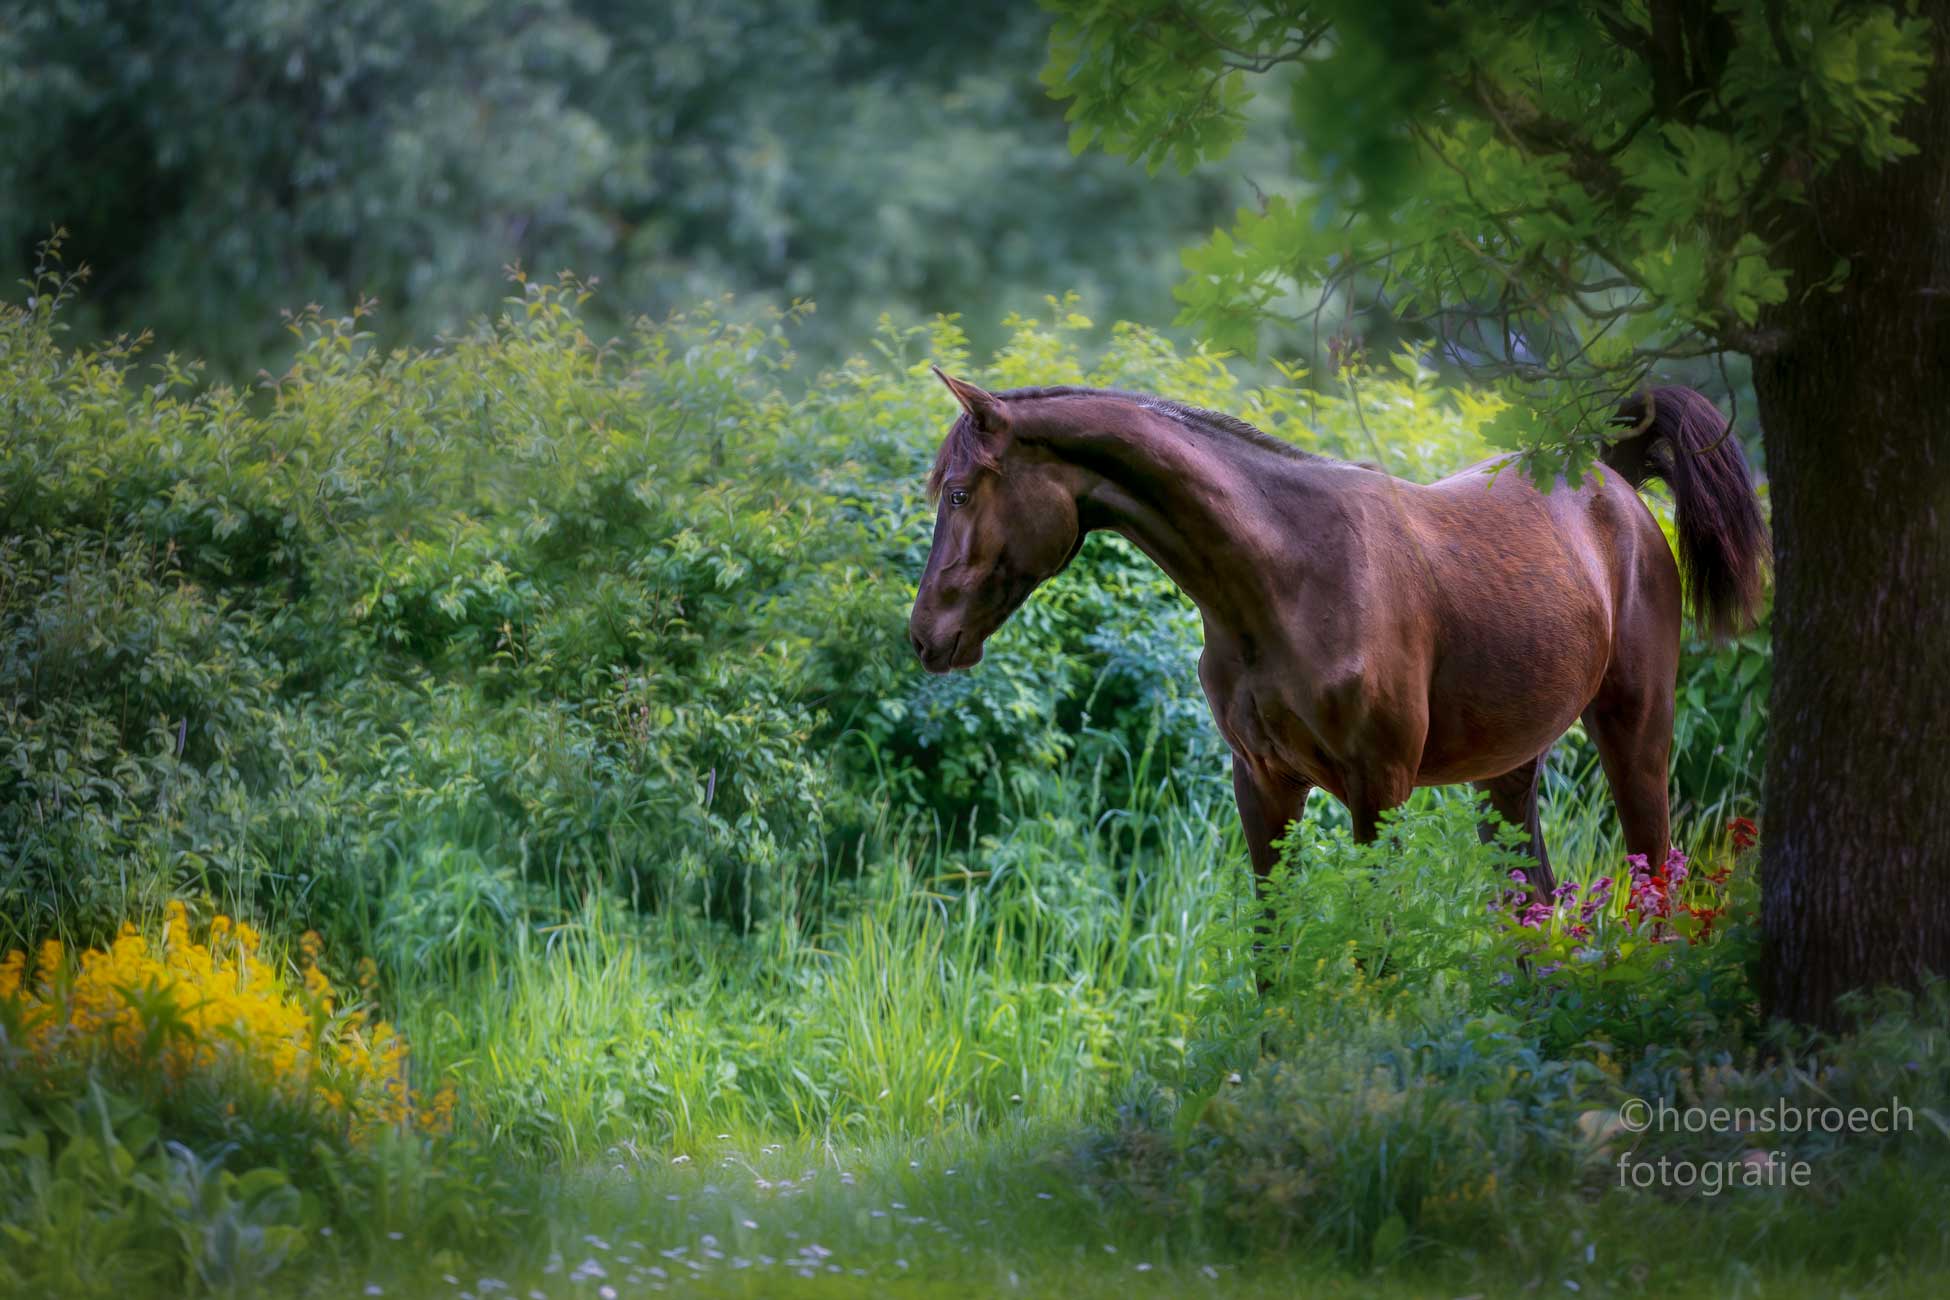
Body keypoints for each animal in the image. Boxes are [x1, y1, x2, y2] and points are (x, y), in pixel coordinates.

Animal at [904, 366, 1778, 896]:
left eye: (959, 491)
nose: (923, 635)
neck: (1284, 575)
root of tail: (1611, 478)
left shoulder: (1378, 789)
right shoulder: (1262, 785)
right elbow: (1274, 942)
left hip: (1636, 734)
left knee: (1655, 878)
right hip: (1508, 773)